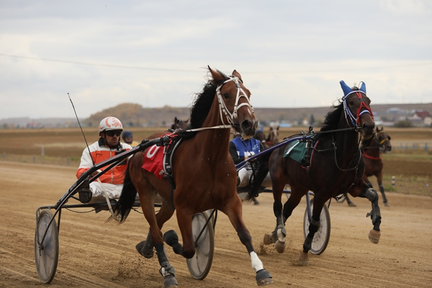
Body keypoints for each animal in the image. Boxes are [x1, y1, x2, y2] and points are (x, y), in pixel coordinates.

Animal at [113, 67, 272, 286]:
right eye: (227, 94)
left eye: (248, 93)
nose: (250, 124)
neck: (209, 159)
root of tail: (140, 147)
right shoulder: (184, 208)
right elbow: (189, 247)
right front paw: (174, 241)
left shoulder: (231, 201)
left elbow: (245, 235)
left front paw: (261, 270)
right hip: (145, 193)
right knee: (156, 229)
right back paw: (167, 271)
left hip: (168, 200)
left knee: (157, 222)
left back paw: (146, 248)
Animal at [250, 81, 382, 266]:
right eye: (351, 102)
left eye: (368, 101)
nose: (369, 126)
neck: (340, 155)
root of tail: (278, 146)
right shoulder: (321, 193)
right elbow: (314, 223)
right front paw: (305, 252)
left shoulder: (354, 187)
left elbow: (374, 195)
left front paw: (375, 229)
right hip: (278, 181)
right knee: (278, 208)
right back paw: (279, 234)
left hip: (298, 187)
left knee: (287, 209)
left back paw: (275, 237)